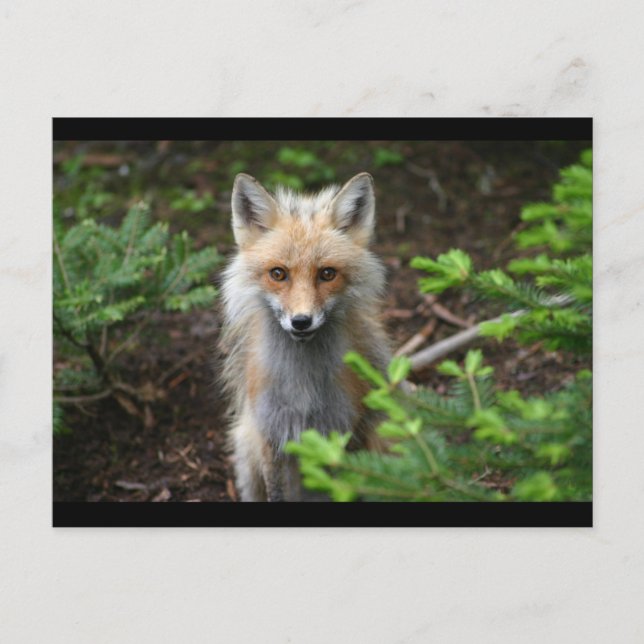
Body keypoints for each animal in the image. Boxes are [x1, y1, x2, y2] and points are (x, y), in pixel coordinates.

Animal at [220, 172, 391, 501]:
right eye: (278, 274)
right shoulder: (270, 435)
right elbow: (276, 494)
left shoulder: (343, 434)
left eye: (327, 274)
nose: (301, 321)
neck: (302, 392)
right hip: (246, 449)